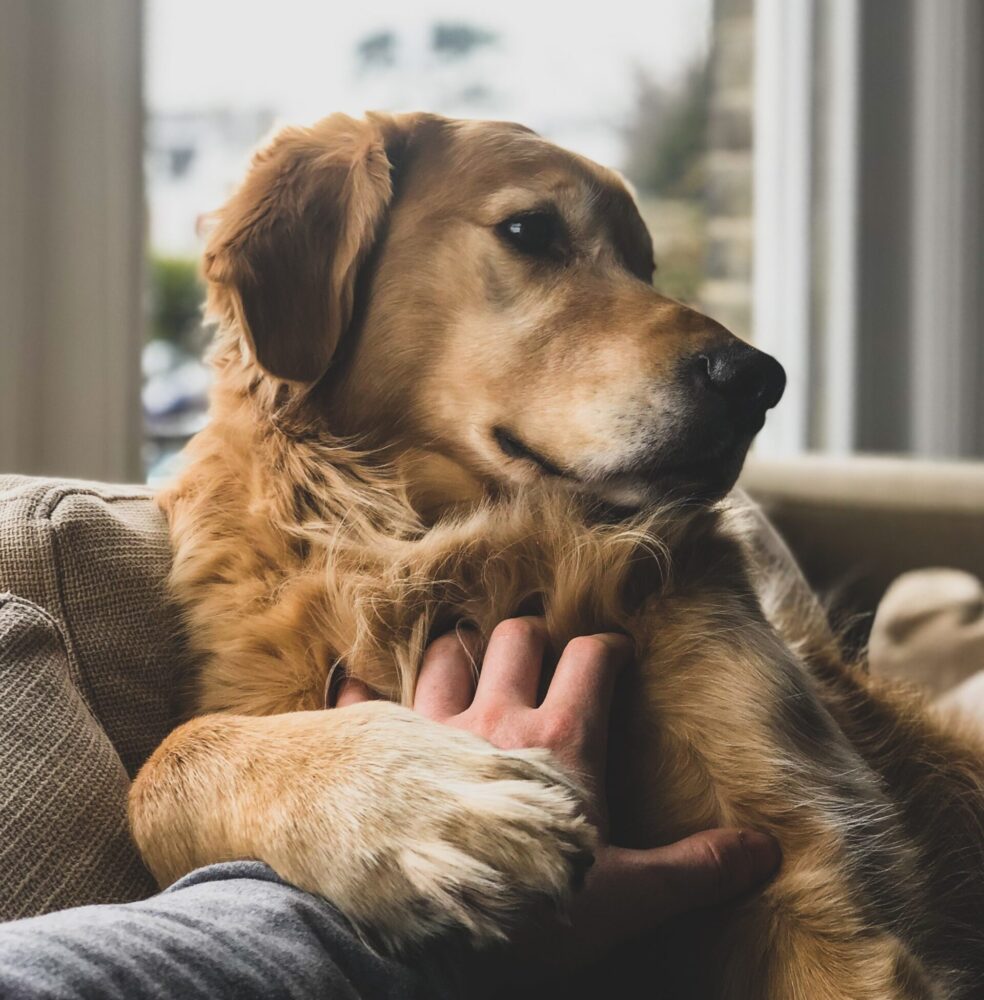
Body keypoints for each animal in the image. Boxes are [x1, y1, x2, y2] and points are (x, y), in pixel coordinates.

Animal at [129, 113, 984, 996]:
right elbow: (164, 766)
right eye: (530, 231)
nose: (759, 381)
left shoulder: (820, 874)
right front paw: (430, 806)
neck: (455, 541)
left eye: (645, 264)